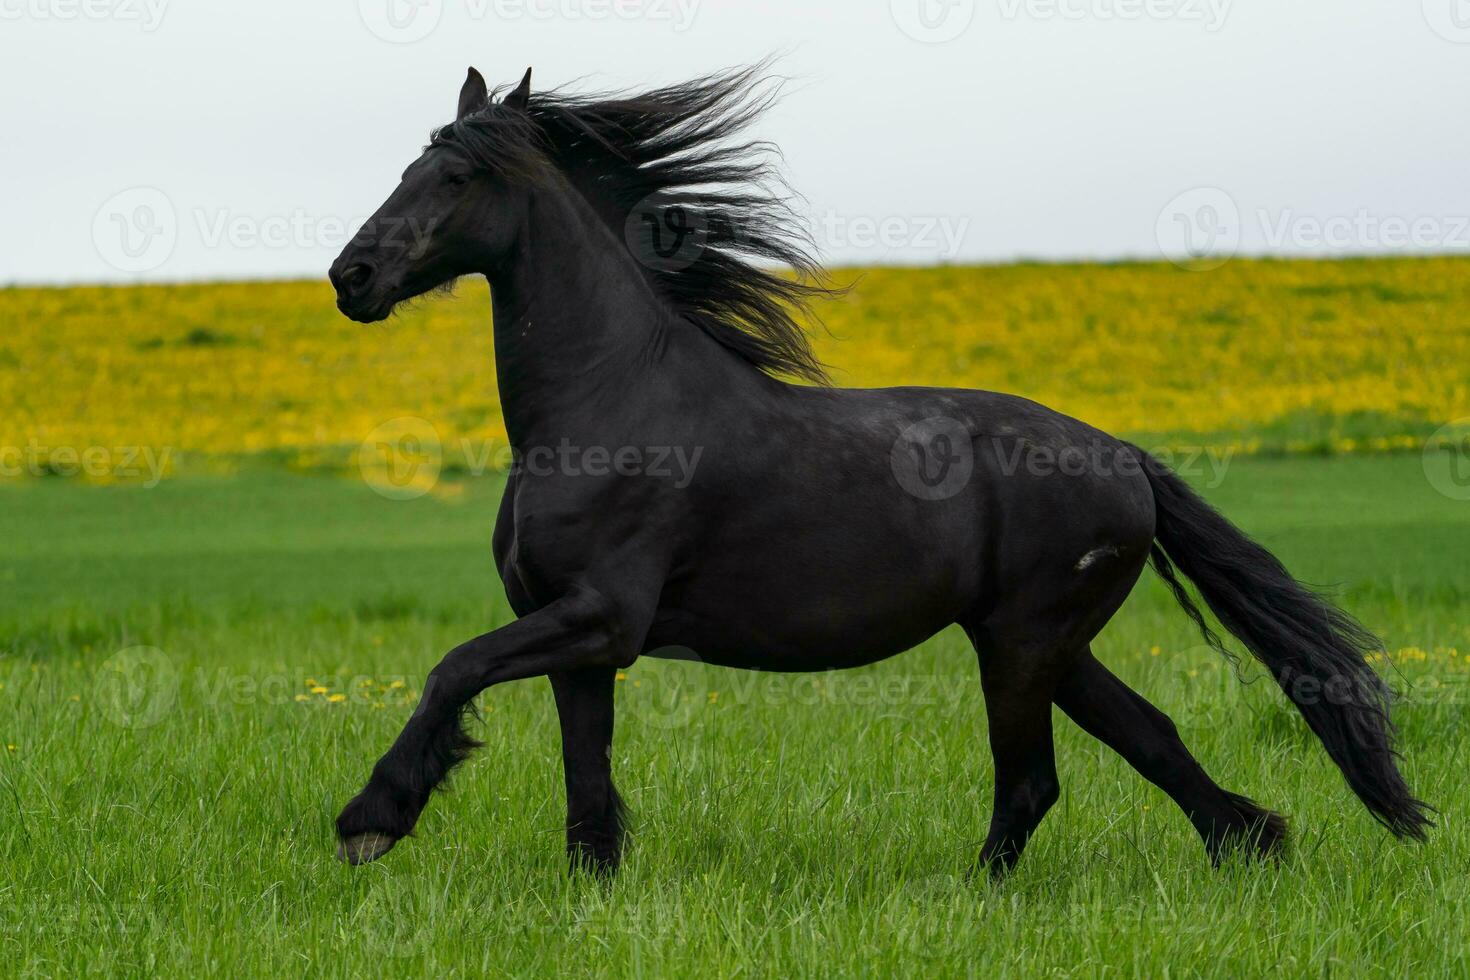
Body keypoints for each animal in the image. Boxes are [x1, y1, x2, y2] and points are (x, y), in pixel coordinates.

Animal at [327, 63, 1428, 875]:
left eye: (456, 178)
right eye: (410, 165)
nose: (352, 276)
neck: (606, 409)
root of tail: (1128, 461)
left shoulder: (603, 614)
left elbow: (454, 667)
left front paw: (372, 817)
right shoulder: (581, 640)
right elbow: (585, 785)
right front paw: (590, 887)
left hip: (1023, 640)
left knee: (1034, 779)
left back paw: (975, 894)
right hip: (1044, 640)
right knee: (1149, 736)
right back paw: (1252, 846)